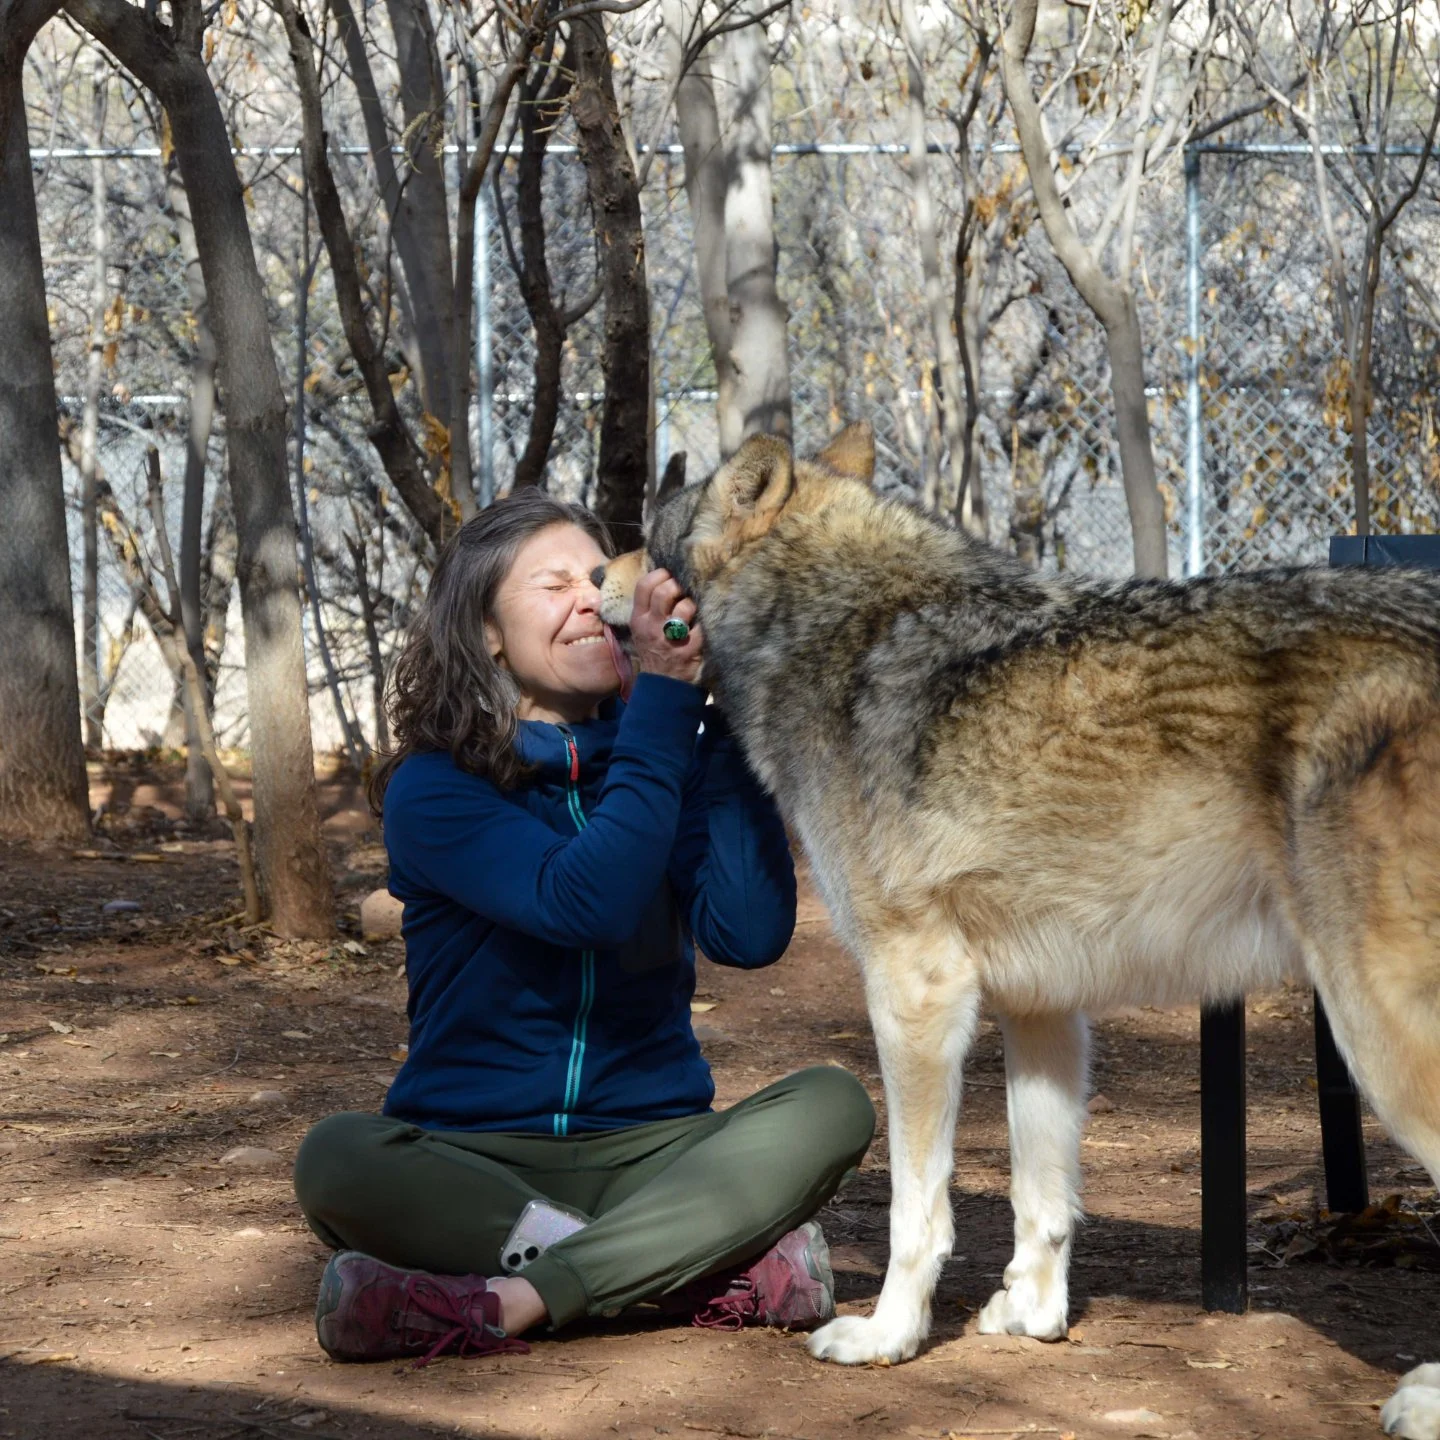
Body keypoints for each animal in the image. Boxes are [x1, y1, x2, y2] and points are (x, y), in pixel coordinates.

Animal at [596, 424, 1440, 1439]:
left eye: (648, 540)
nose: (595, 571)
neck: (837, 633)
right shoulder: (1044, 1008)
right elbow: (1042, 1193)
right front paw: (1033, 1317)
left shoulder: (915, 990)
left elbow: (917, 1208)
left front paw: (887, 1336)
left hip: (1378, 1036)